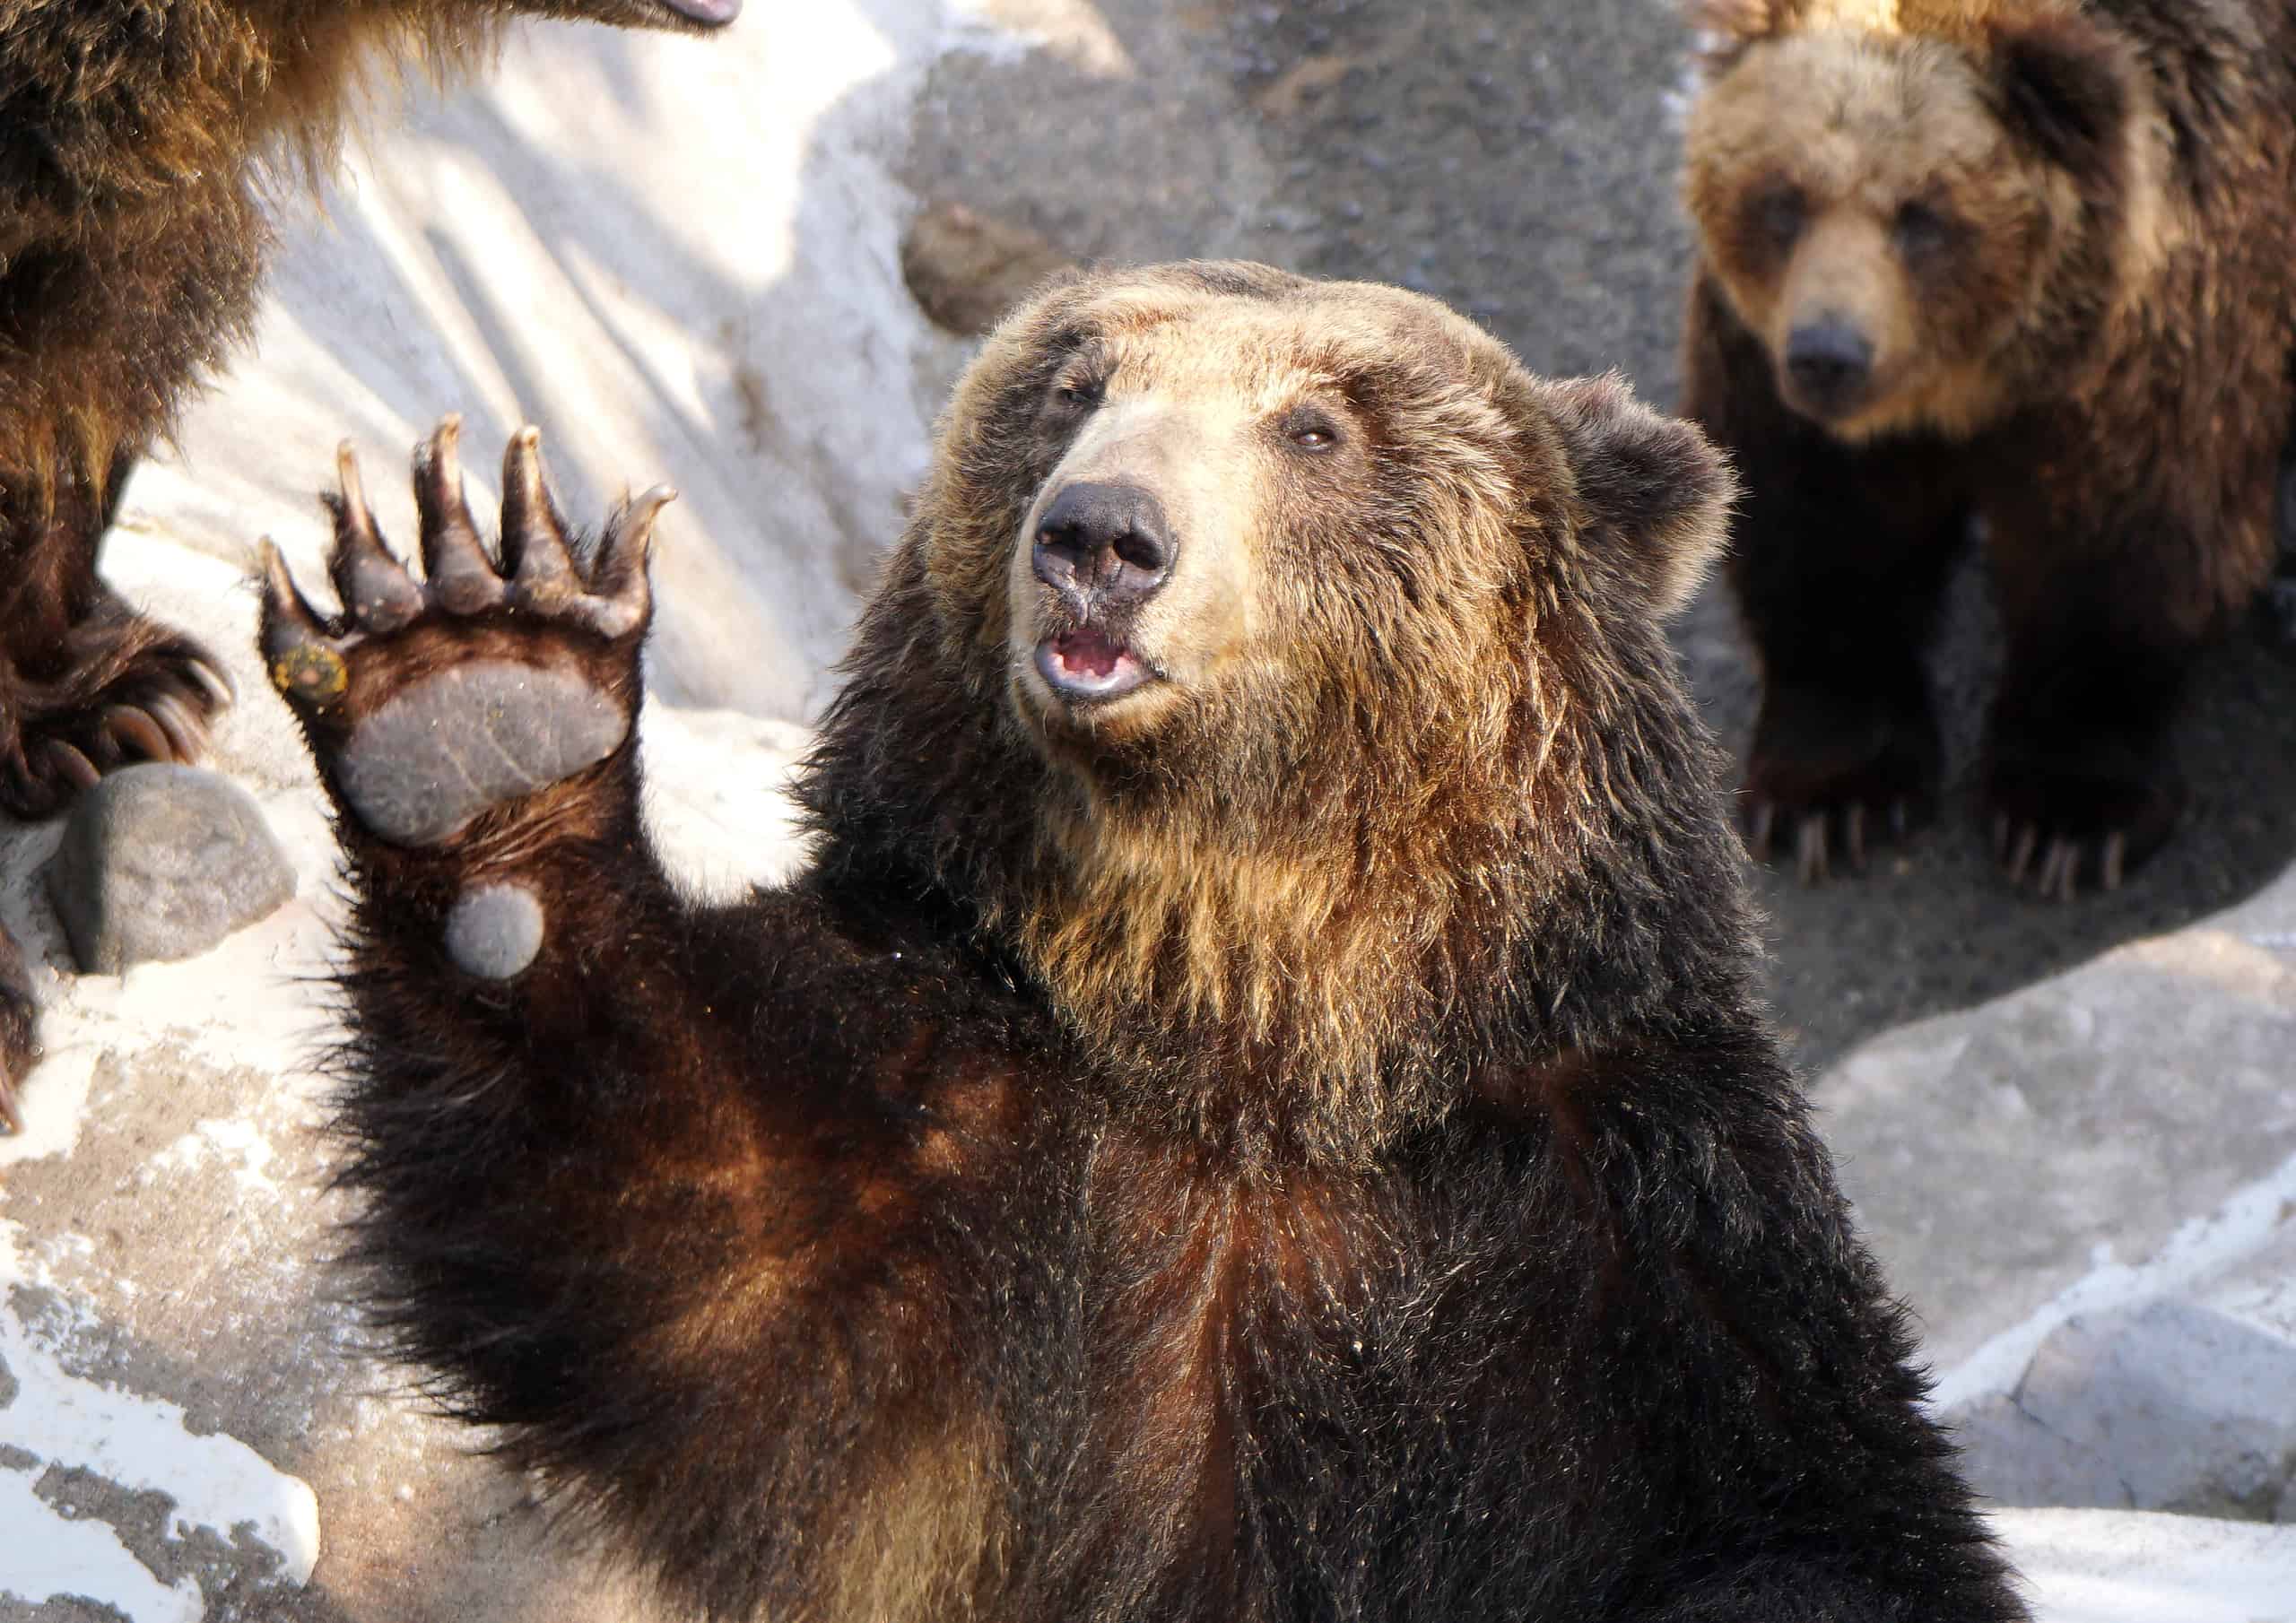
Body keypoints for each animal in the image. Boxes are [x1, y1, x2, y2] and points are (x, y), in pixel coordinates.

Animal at [258, 263, 2028, 1622]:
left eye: (1316, 423)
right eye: (1075, 383)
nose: (1100, 534)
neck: (1260, 1039)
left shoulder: (1633, 1237)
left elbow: (1808, 1520)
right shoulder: (956, 1146)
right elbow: (679, 1221)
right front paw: (477, 694)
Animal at [1679, 0, 2296, 896]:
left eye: (1922, 216)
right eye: (1783, 199)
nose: (1828, 354)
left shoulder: (2157, 352)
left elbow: (2123, 547)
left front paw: (2065, 817)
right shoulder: (1773, 374)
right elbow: (1821, 531)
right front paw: (1831, 795)